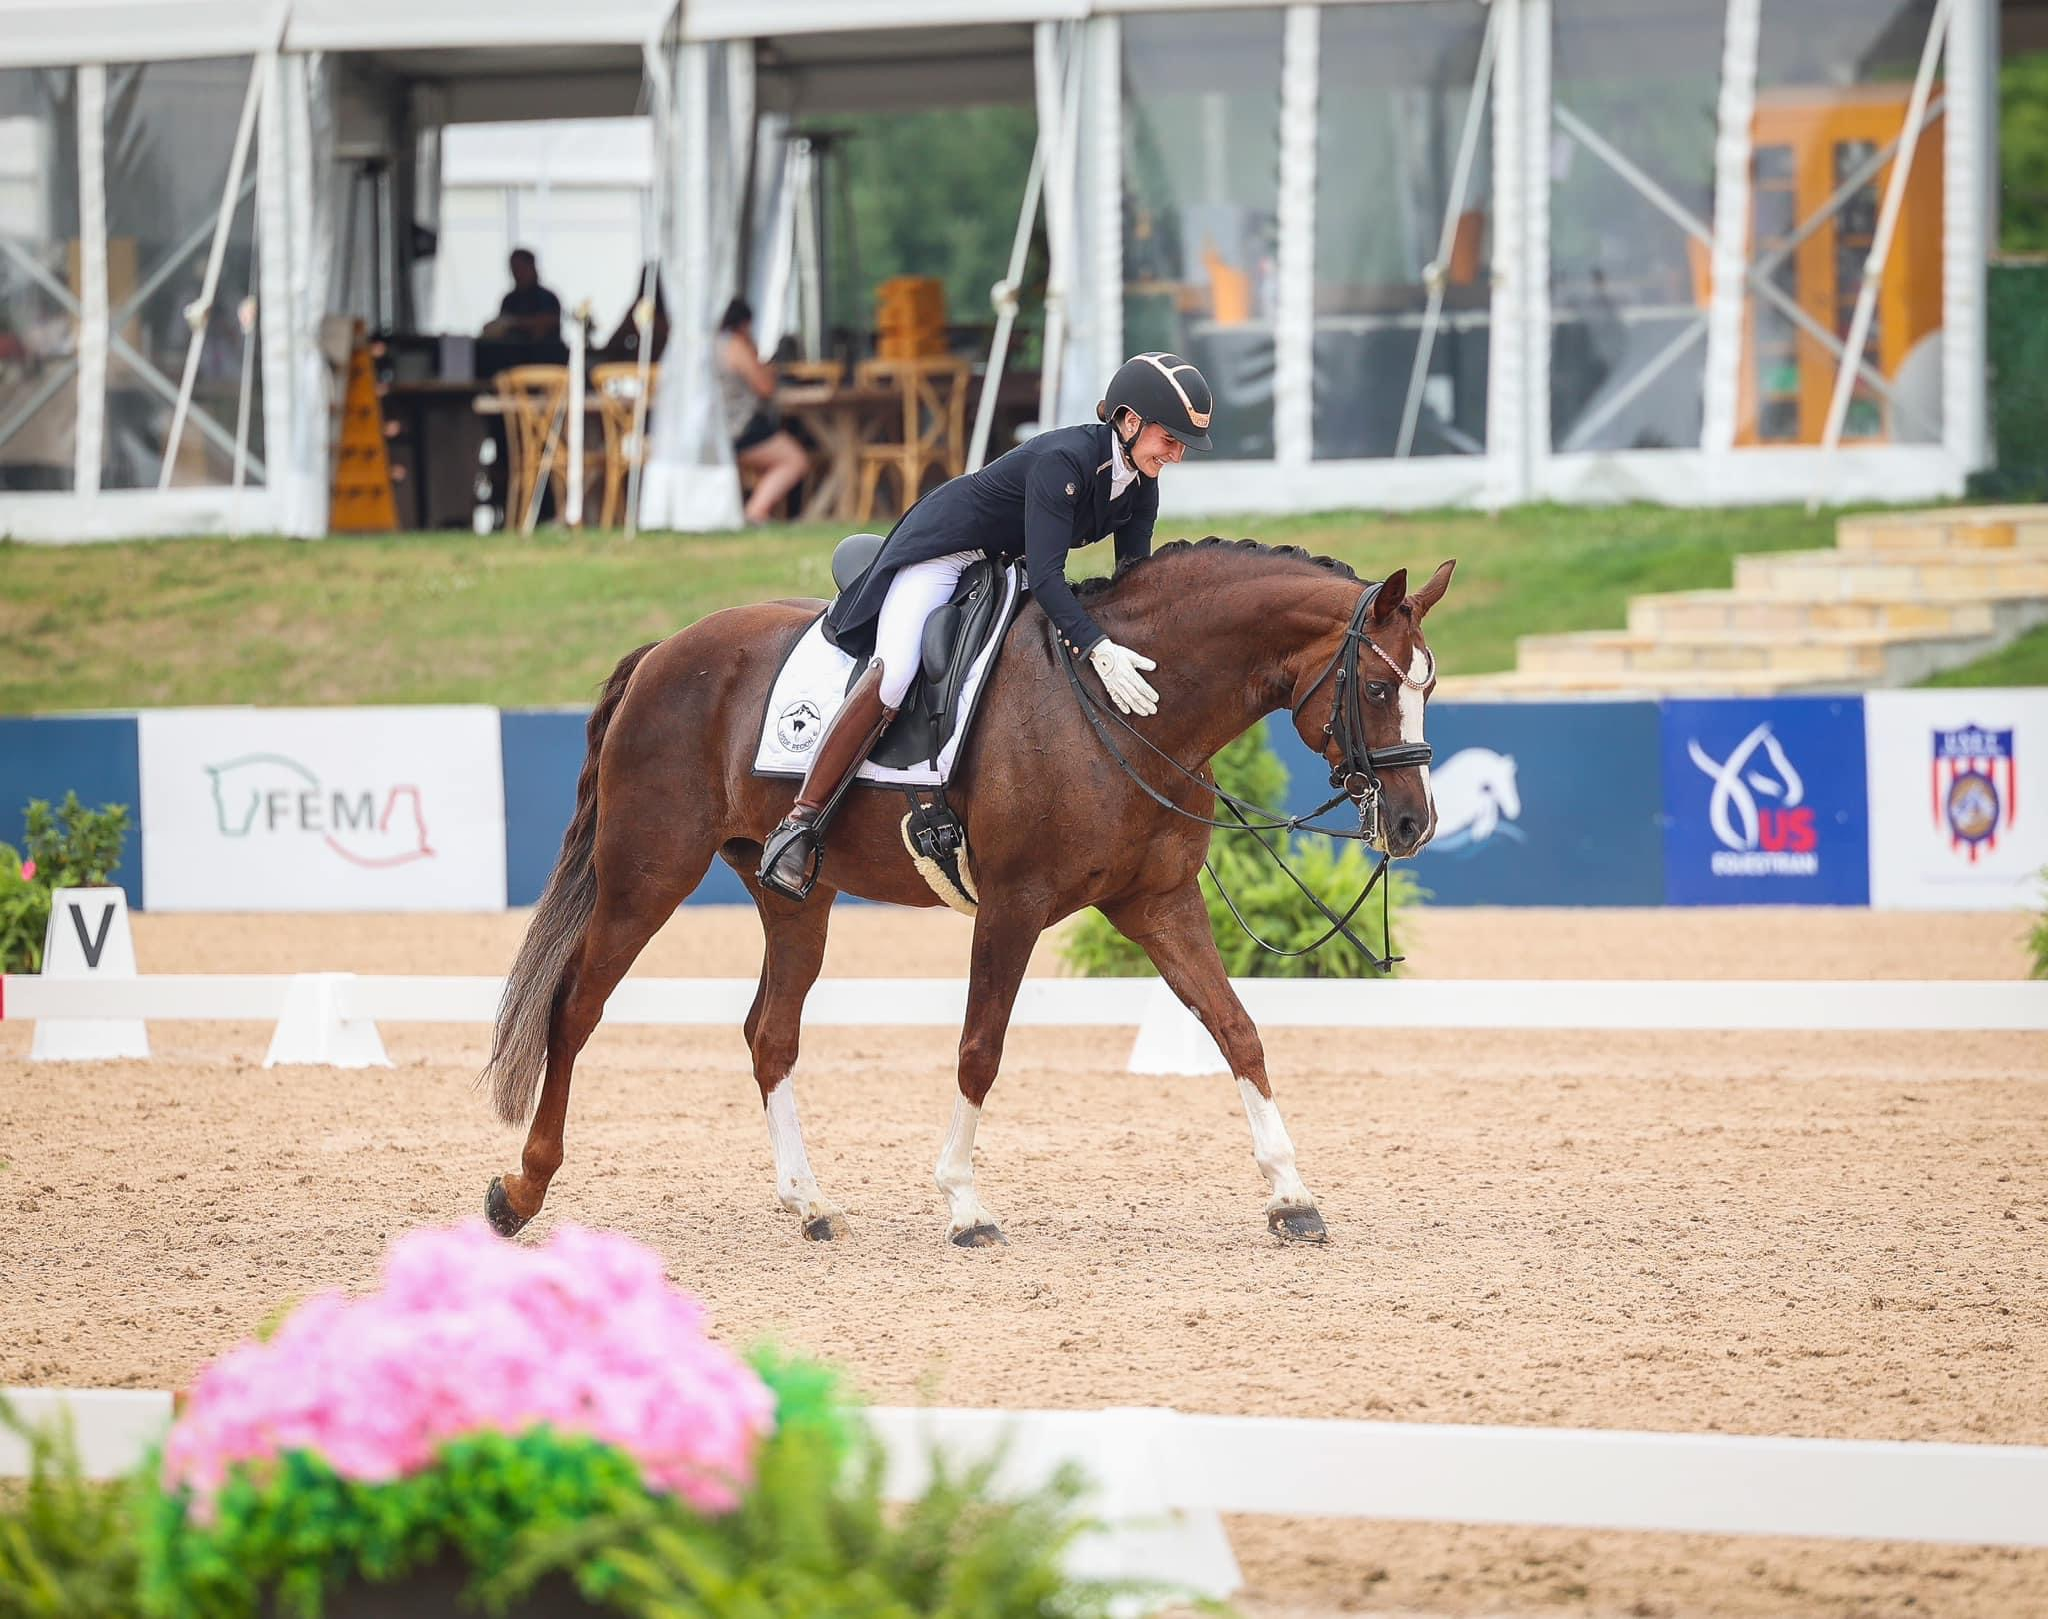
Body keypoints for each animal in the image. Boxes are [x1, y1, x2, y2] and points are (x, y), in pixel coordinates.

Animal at [479, 538, 1456, 1247]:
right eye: (1377, 686)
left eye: (1429, 685)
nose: (1414, 824)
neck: (1126, 709)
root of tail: (663, 652)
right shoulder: (1015, 904)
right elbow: (980, 1048)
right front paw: (964, 1205)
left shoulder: (1160, 902)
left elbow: (1237, 1028)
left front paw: (1292, 1195)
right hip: (646, 872)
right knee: (575, 1008)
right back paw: (521, 1189)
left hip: (793, 894)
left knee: (770, 1032)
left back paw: (809, 1203)